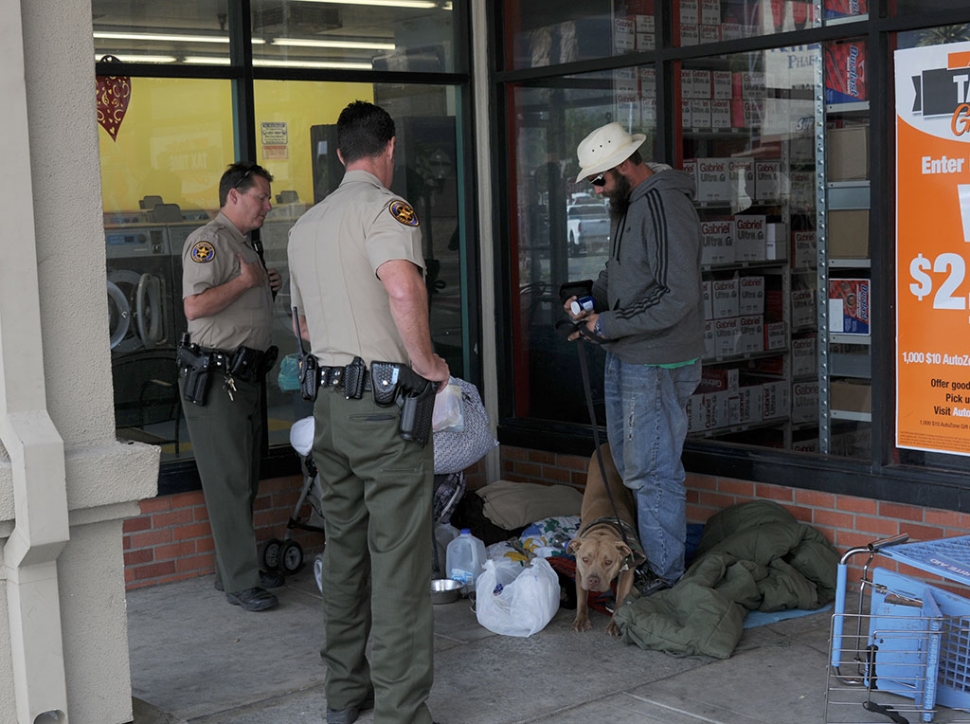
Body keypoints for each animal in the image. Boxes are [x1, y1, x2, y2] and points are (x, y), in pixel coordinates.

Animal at [564, 442, 640, 632]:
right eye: (585, 559)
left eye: (608, 562)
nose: (593, 579)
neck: (603, 530)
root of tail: (606, 445)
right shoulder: (579, 571)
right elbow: (582, 595)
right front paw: (581, 618)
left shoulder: (628, 570)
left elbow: (621, 599)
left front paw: (615, 623)